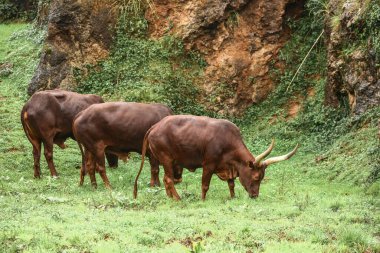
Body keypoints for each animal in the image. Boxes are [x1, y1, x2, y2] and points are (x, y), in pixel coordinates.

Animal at [135, 115, 298, 201]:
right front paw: (202, 199)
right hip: (167, 159)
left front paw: (233, 197)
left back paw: (170, 197)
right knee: (169, 179)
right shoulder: (209, 164)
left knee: (166, 179)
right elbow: (205, 185)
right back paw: (178, 198)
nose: (254, 195)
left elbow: (231, 184)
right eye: (256, 177)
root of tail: (155, 126)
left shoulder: (229, 166)